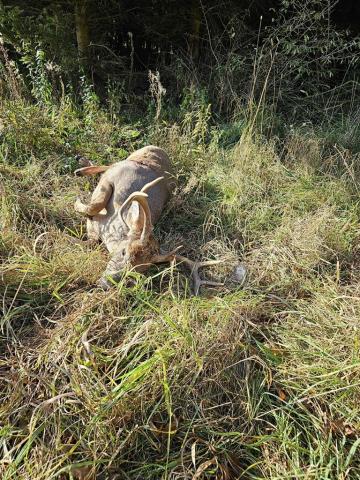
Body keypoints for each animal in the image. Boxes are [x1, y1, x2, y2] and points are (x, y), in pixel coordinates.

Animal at [74, 144, 224, 292]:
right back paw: (80, 166)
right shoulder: (111, 181)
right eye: (124, 252)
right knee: (109, 165)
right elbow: (94, 206)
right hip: (129, 160)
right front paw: (77, 201)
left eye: (139, 270)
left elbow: (89, 241)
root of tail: (161, 150)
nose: (106, 283)